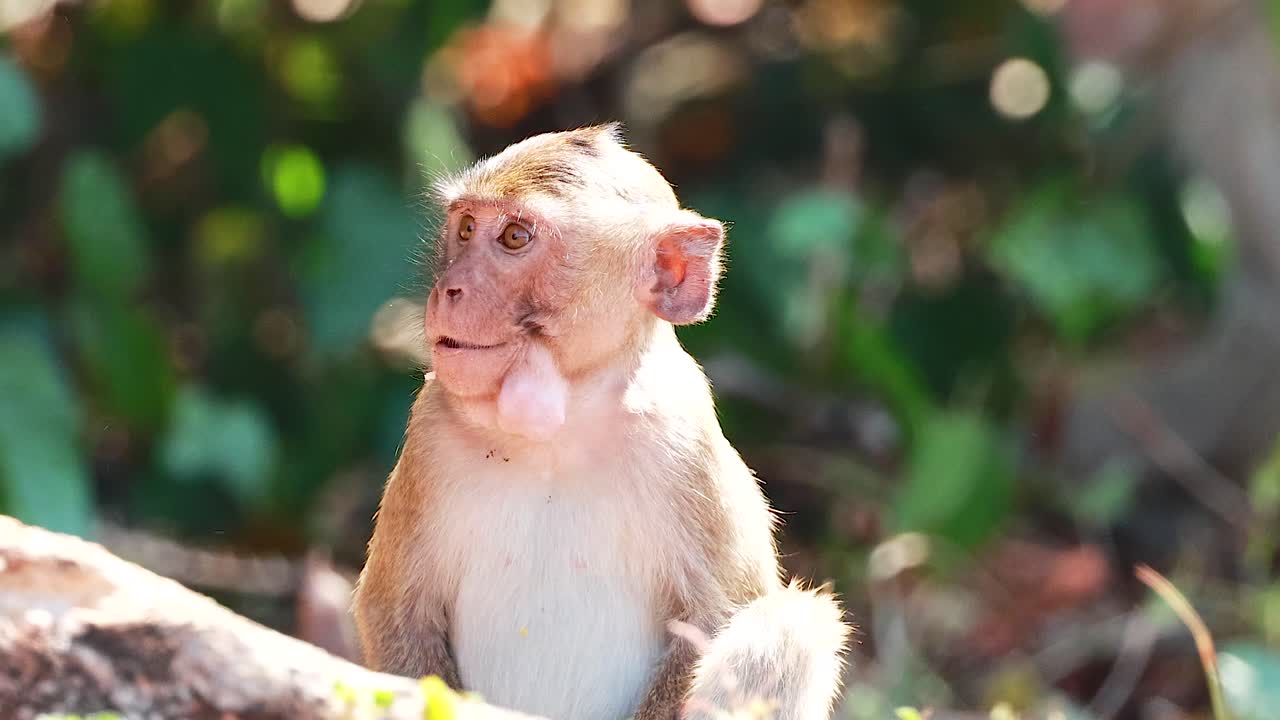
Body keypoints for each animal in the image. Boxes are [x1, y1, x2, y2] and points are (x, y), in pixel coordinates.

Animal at [352, 124, 851, 720]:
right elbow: (396, 613)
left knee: (791, 626)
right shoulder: (431, 430)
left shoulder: (685, 443)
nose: (448, 290)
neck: (559, 427)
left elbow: (717, 616)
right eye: (467, 228)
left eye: (515, 237)